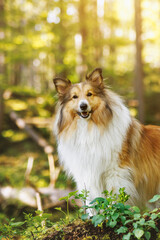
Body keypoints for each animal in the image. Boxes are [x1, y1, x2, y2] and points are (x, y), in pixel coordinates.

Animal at [53, 68, 160, 210]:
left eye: (89, 94)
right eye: (74, 97)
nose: (83, 106)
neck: (88, 129)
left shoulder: (116, 173)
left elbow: (114, 201)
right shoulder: (87, 175)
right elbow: (91, 204)